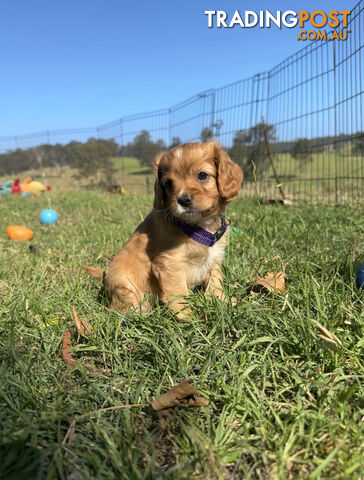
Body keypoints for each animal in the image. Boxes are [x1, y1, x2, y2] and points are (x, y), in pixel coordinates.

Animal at [84, 141, 243, 320]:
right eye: (168, 183)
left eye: (202, 175)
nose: (183, 200)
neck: (199, 227)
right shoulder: (170, 262)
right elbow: (178, 292)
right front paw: (186, 317)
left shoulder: (214, 258)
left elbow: (215, 283)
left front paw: (221, 302)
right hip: (123, 280)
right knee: (120, 306)